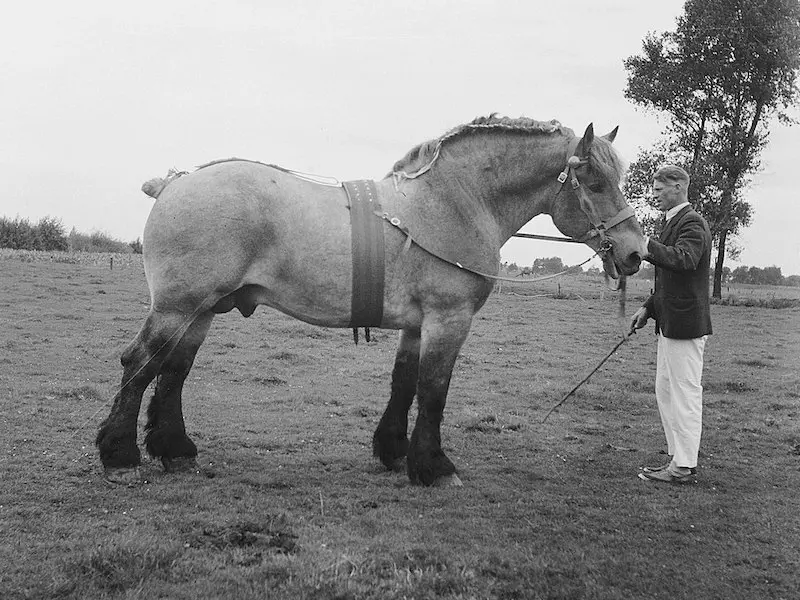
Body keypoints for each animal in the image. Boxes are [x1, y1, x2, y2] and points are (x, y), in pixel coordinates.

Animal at [97, 115, 648, 486]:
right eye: (594, 180)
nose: (634, 252)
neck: (453, 202)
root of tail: (173, 184)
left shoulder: (416, 324)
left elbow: (404, 383)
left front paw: (395, 452)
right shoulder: (448, 320)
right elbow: (433, 389)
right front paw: (435, 466)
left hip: (202, 311)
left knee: (173, 372)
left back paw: (174, 450)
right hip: (178, 308)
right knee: (140, 363)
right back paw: (119, 456)